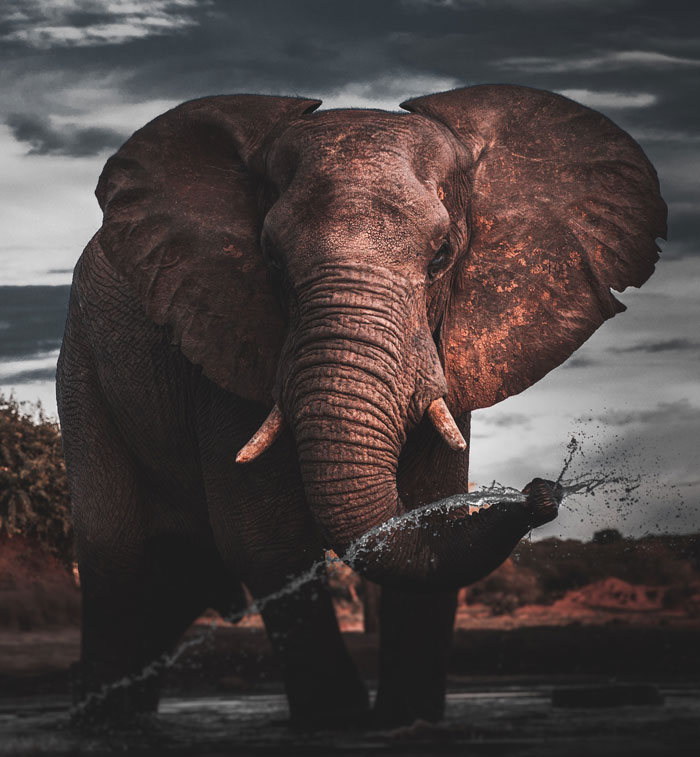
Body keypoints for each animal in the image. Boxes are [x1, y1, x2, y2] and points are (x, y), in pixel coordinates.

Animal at [56, 84, 665, 728]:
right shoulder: (225, 336)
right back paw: (101, 724)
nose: (541, 492)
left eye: (443, 256)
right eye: (270, 259)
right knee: (116, 557)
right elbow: (266, 540)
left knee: (178, 578)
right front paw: (339, 723)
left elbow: (427, 512)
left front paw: (407, 721)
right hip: (84, 369)